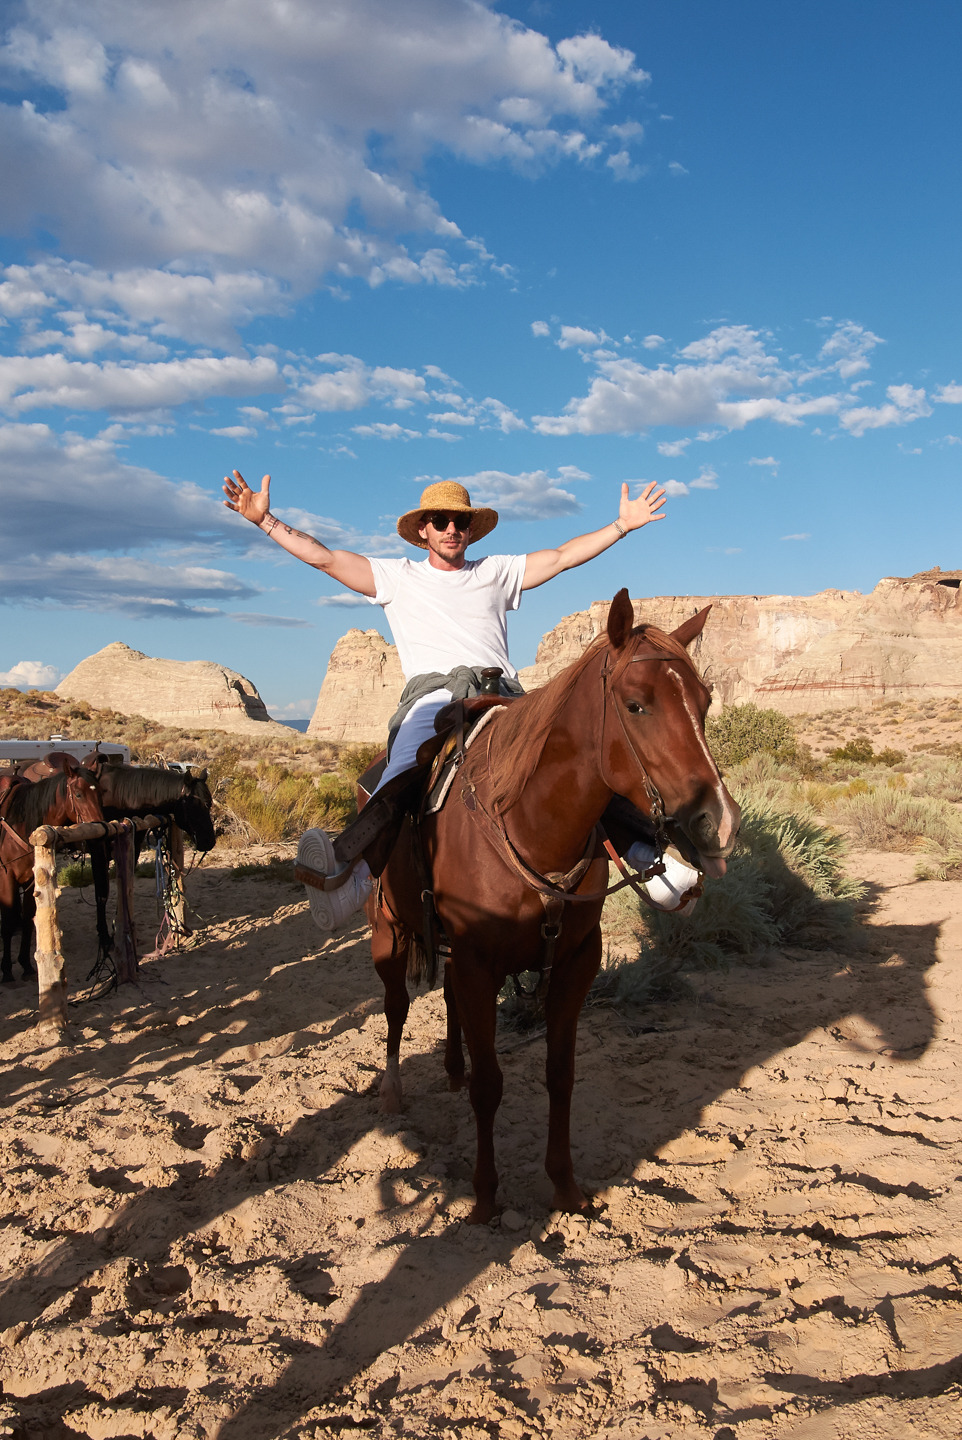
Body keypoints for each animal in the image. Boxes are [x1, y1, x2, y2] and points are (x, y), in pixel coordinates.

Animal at [0, 766, 105, 990]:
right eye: (78, 794)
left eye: (101, 792)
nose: (100, 831)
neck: (22, 822)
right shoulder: (6, 878)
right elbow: (7, 924)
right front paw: (7, 971)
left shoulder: (31, 881)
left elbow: (28, 920)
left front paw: (26, 966)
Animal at [303, 590, 743, 1221]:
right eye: (635, 705)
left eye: (705, 702)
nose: (720, 824)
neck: (532, 825)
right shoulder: (477, 962)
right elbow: (491, 1084)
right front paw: (486, 1197)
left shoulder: (575, 962)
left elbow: (560, 1074)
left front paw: (566, 1187)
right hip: (389, 933)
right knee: (395, 1007)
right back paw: (392, 1090)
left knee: (451, 1007)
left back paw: (452, 1070)